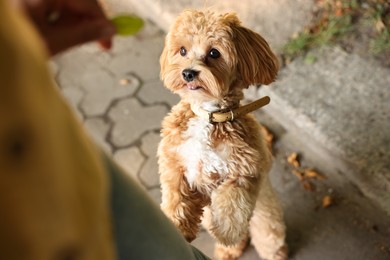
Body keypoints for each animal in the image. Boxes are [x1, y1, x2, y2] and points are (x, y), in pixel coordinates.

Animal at [158, 10, 286, 260]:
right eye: (182, 50)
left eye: (214, 53)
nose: (188, 73)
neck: (209, 117)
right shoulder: (174, 163)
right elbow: (176, 196)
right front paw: (178, 226)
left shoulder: (245, 171)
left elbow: (232, 202)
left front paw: (226, 231)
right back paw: (229, 250)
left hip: (266, 217)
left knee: (267, 235)